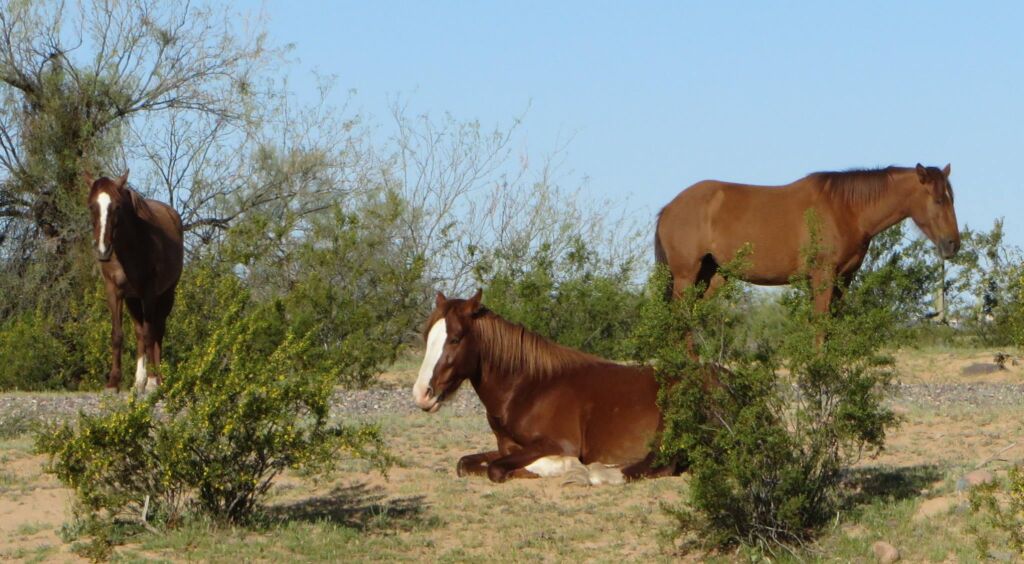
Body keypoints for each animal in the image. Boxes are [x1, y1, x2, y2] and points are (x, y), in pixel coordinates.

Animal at [86, 170, 184, 393]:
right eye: (91, 206)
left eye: (117, 206)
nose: (103, 250)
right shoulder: (114, 291)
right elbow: (118, 334)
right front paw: (113, 382)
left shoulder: (149, 292)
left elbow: (150, 334)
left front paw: (153, 381)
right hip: (133, 299)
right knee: (140, 332)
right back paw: (138, 381)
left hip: (166, 295)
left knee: (156, 332)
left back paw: (157, 379)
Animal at [412, 290, 679, 484]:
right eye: (427, 337)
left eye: (455, 339)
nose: (422, 393)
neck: (530, 389)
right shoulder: (508, 447)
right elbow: (465, 463)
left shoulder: (558, 444)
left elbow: (496, 469)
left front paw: (567, 467)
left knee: (662, 464)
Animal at [655, 164, 960, 312]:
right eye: (938, 200)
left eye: (951, 198)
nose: (953, 244)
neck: (846, 209)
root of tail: (669, 207)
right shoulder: (823, 276)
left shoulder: (843, 279)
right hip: (686, 276)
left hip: (713, 276)